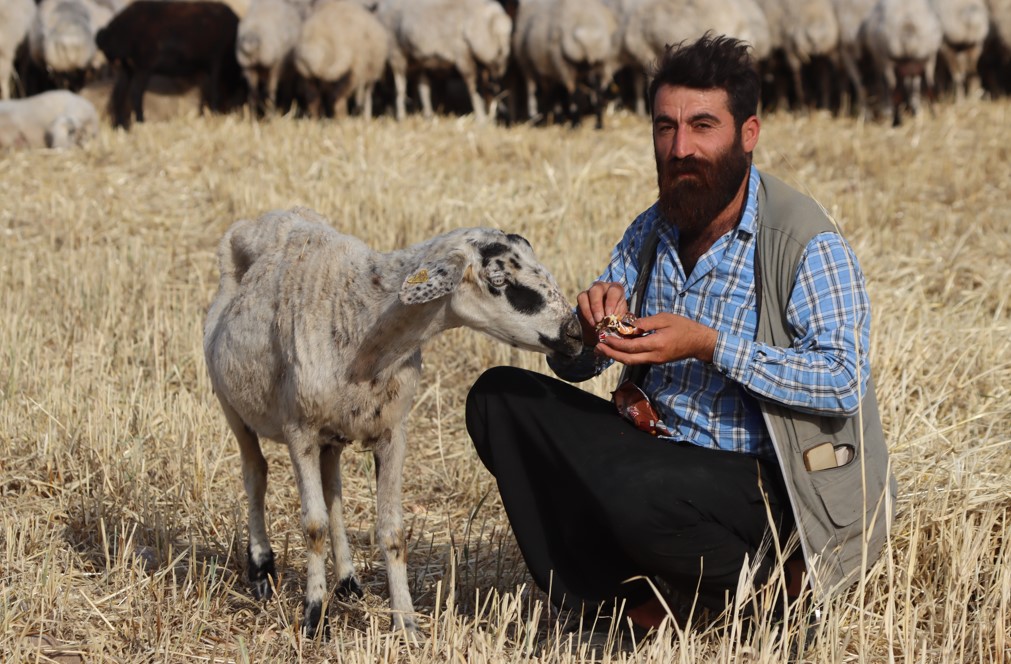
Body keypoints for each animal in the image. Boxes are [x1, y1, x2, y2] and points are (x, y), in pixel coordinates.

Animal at [203, 207, 586, 638]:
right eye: (499, 281)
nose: (576, 333)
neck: (362, 318)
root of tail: (264, 217)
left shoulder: (393, 432)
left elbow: (392, 532)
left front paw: (406, 622)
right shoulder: (299, 431)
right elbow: (313, 526)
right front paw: (314, 617)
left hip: (333, 433)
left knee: (333, 492)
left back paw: (348, 581)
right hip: (231, 404)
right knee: (256, 474)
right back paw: (261, 570)